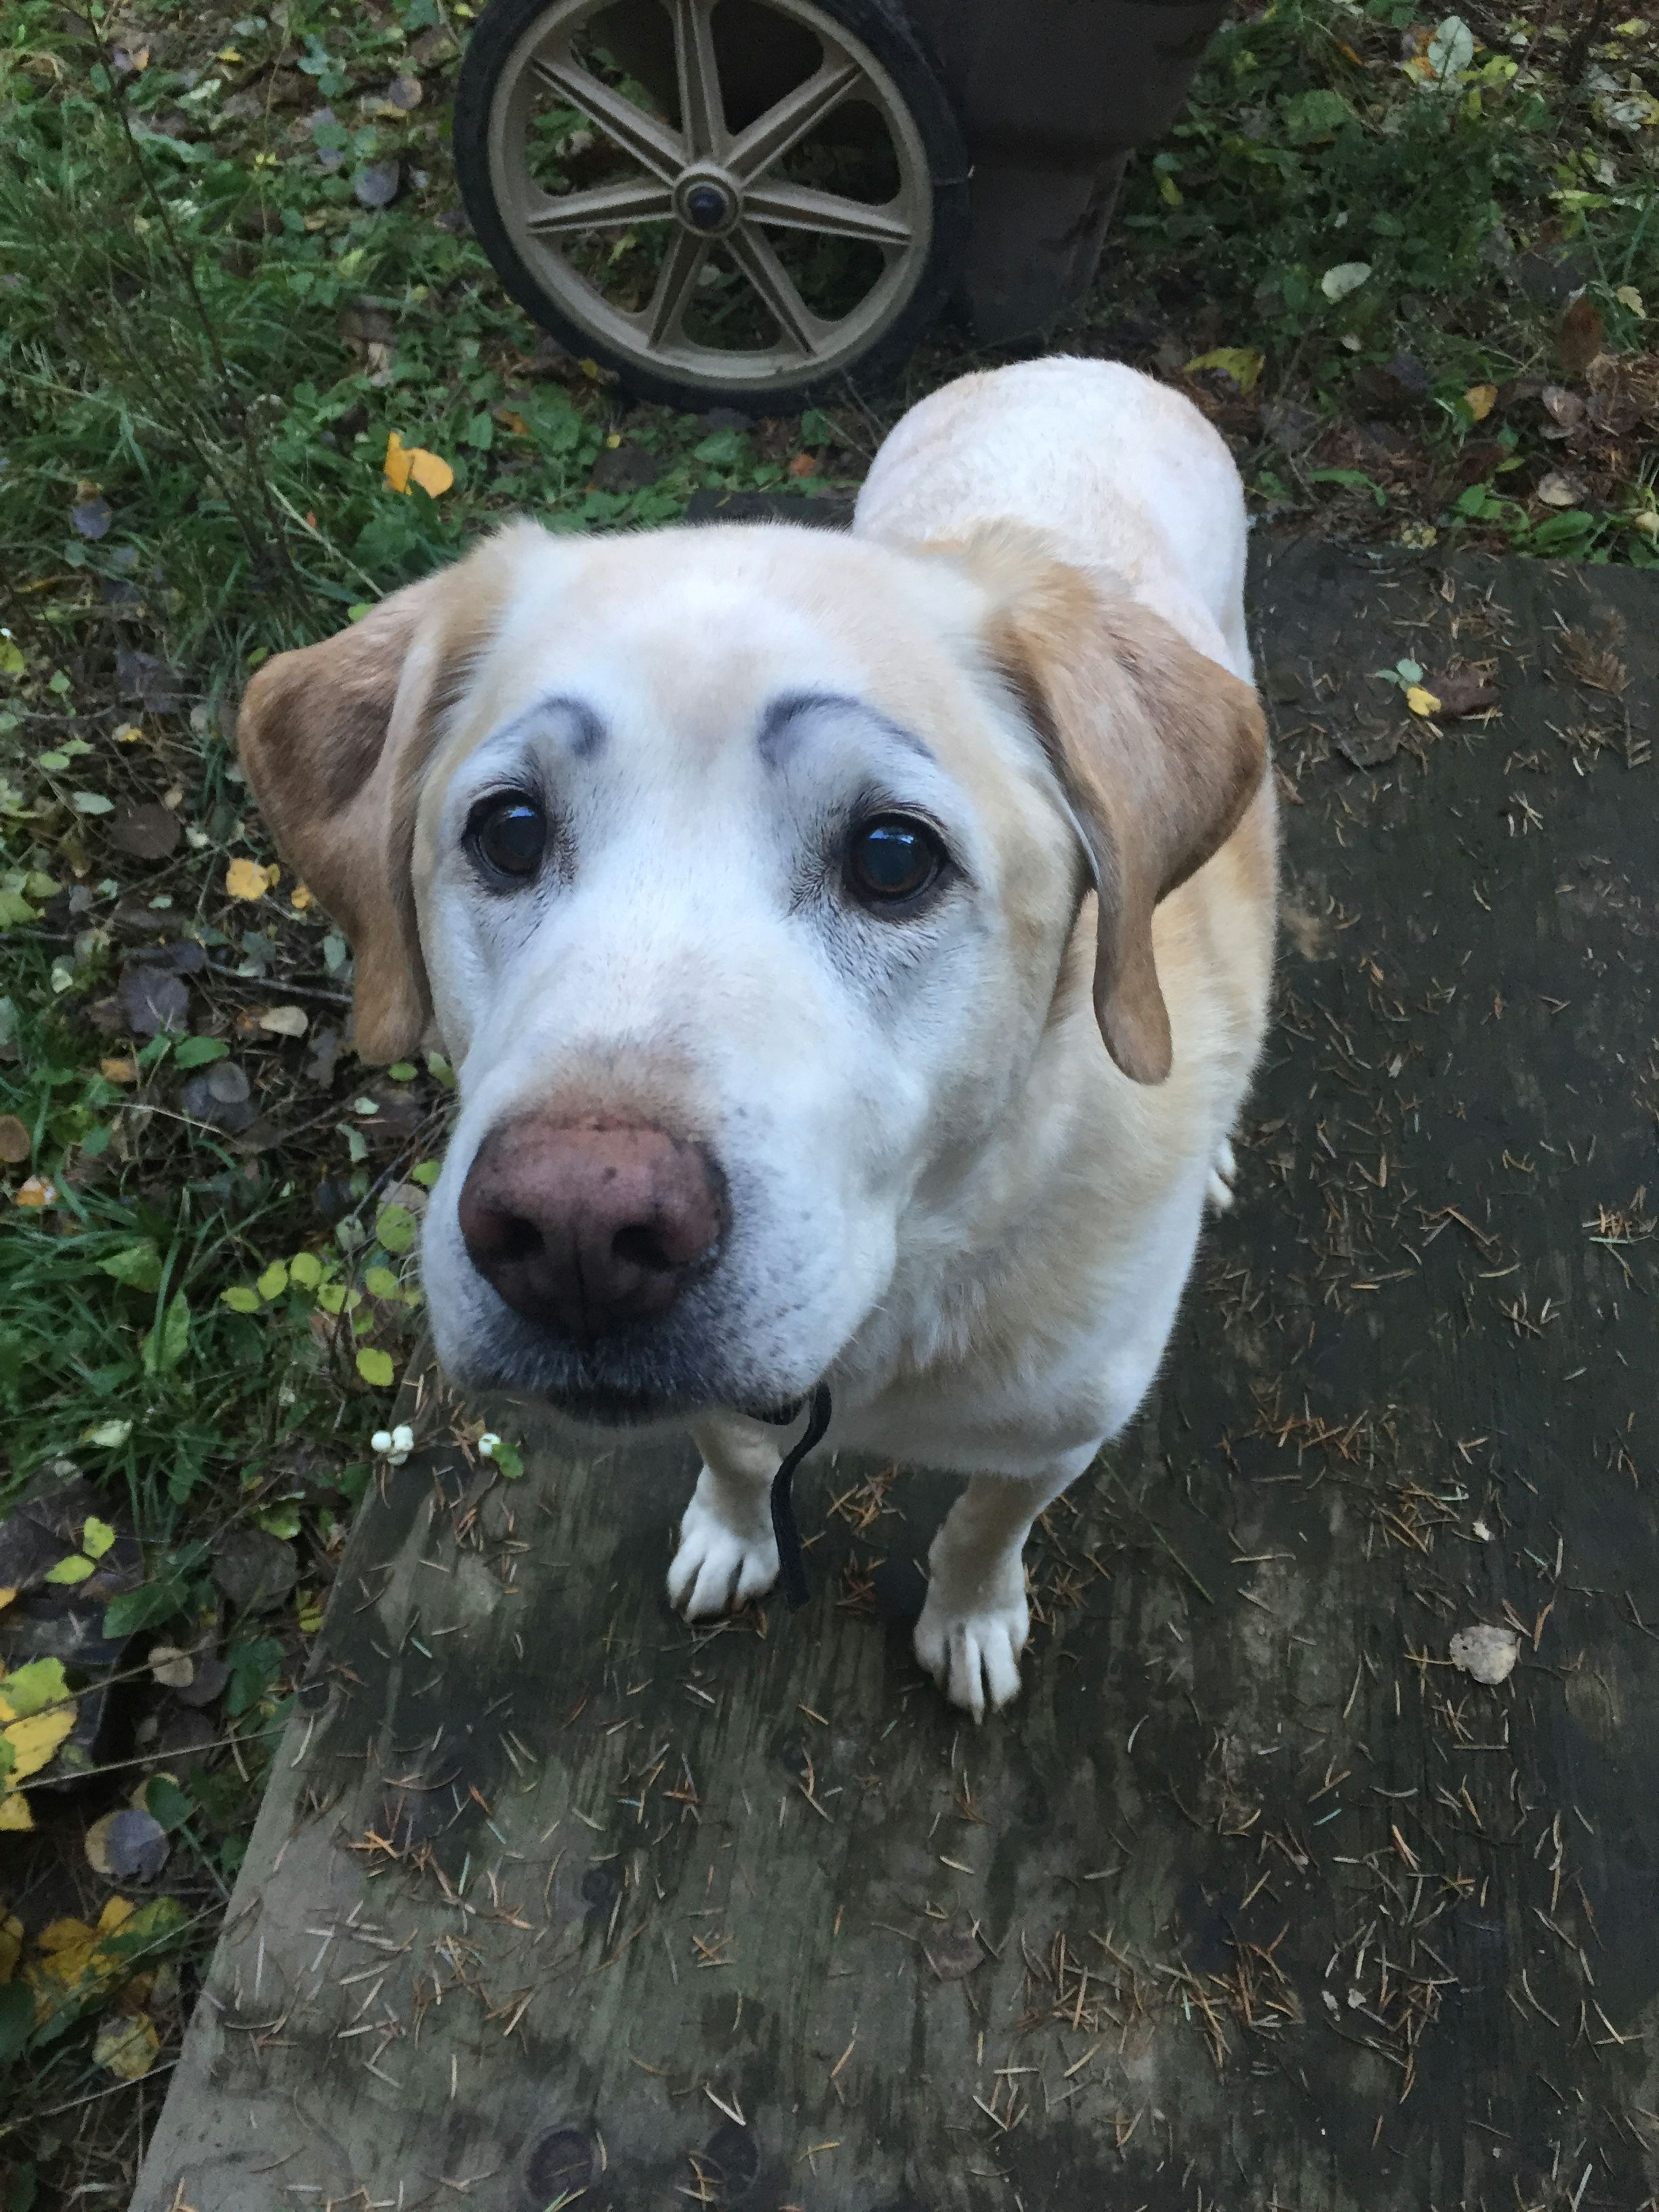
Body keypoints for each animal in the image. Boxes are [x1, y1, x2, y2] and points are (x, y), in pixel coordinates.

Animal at [237, 358, 1274, 1707]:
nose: (576, 1233)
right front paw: (734, 1536)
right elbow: (734, 1452)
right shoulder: (722, 1399)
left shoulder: (1059, 1430)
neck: (895, 1299)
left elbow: (985, 1525)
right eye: (508, 832)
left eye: (891, 858)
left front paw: (970, 1616)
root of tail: (1074, 367)